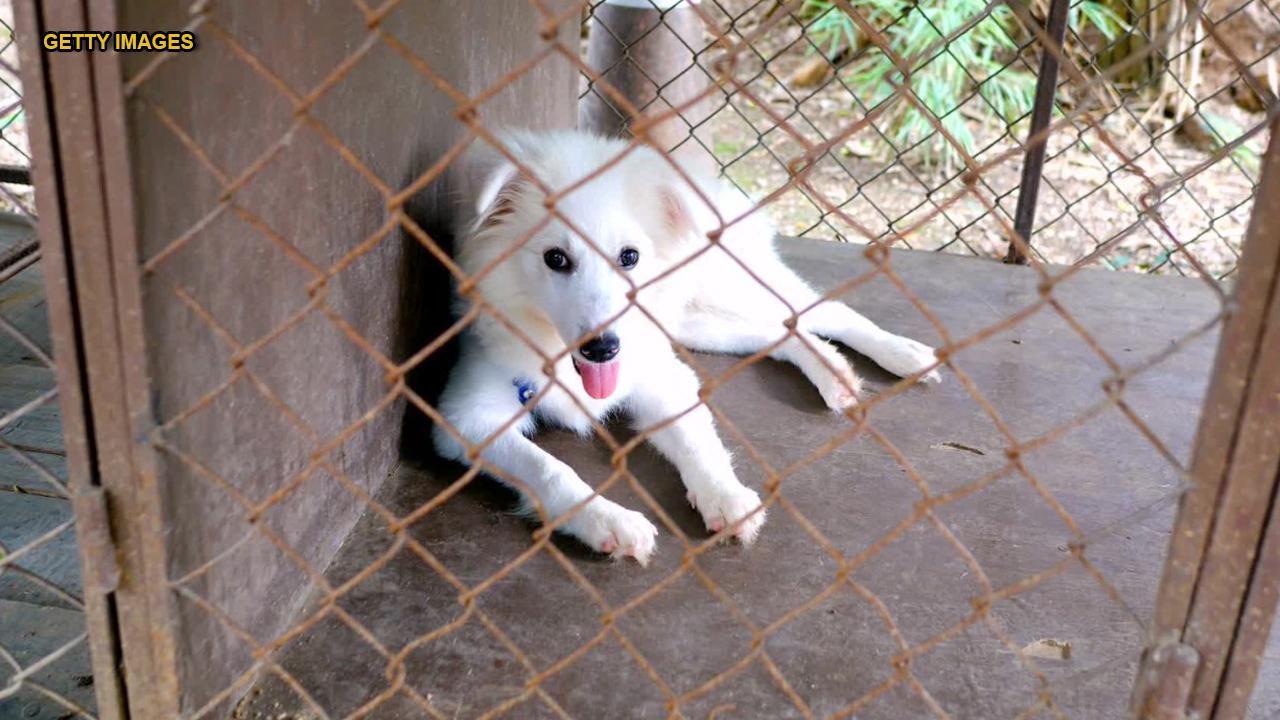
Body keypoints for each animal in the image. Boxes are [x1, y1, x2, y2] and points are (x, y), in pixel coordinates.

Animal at [432, 130, 942, 566]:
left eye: (630, 256)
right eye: (555, 258)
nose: (604, 349)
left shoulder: (662, 378)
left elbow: (696, 442)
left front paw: (724, 495)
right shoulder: (468, 418)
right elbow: (548, 467)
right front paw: (606, 520)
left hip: (734, 288)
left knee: (826, 309)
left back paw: (903, 355)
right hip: (699, 322)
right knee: (780, 332)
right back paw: (833, 373)